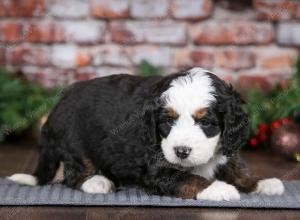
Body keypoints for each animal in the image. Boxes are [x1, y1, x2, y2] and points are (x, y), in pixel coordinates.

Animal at [7, 68, 284, 201]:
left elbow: (236, 168)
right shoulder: (158, 170)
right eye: (167, 121)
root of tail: (55, 108)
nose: (181, 152)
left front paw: (261, 183)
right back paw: (97, 182)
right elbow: (189, 178)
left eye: (206, 122)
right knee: (73, 175)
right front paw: (217, 189)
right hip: (75, 144)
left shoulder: (225, 148)